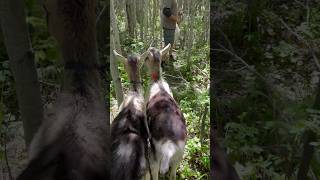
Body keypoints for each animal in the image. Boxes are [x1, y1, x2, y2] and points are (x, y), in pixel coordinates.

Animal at [144, 44, 186, 180]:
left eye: (146, 57)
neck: (158, 82)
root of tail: (169, 147)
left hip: (156, 157)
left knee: (155, 173)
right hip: (179, 156)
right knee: (173, 174)